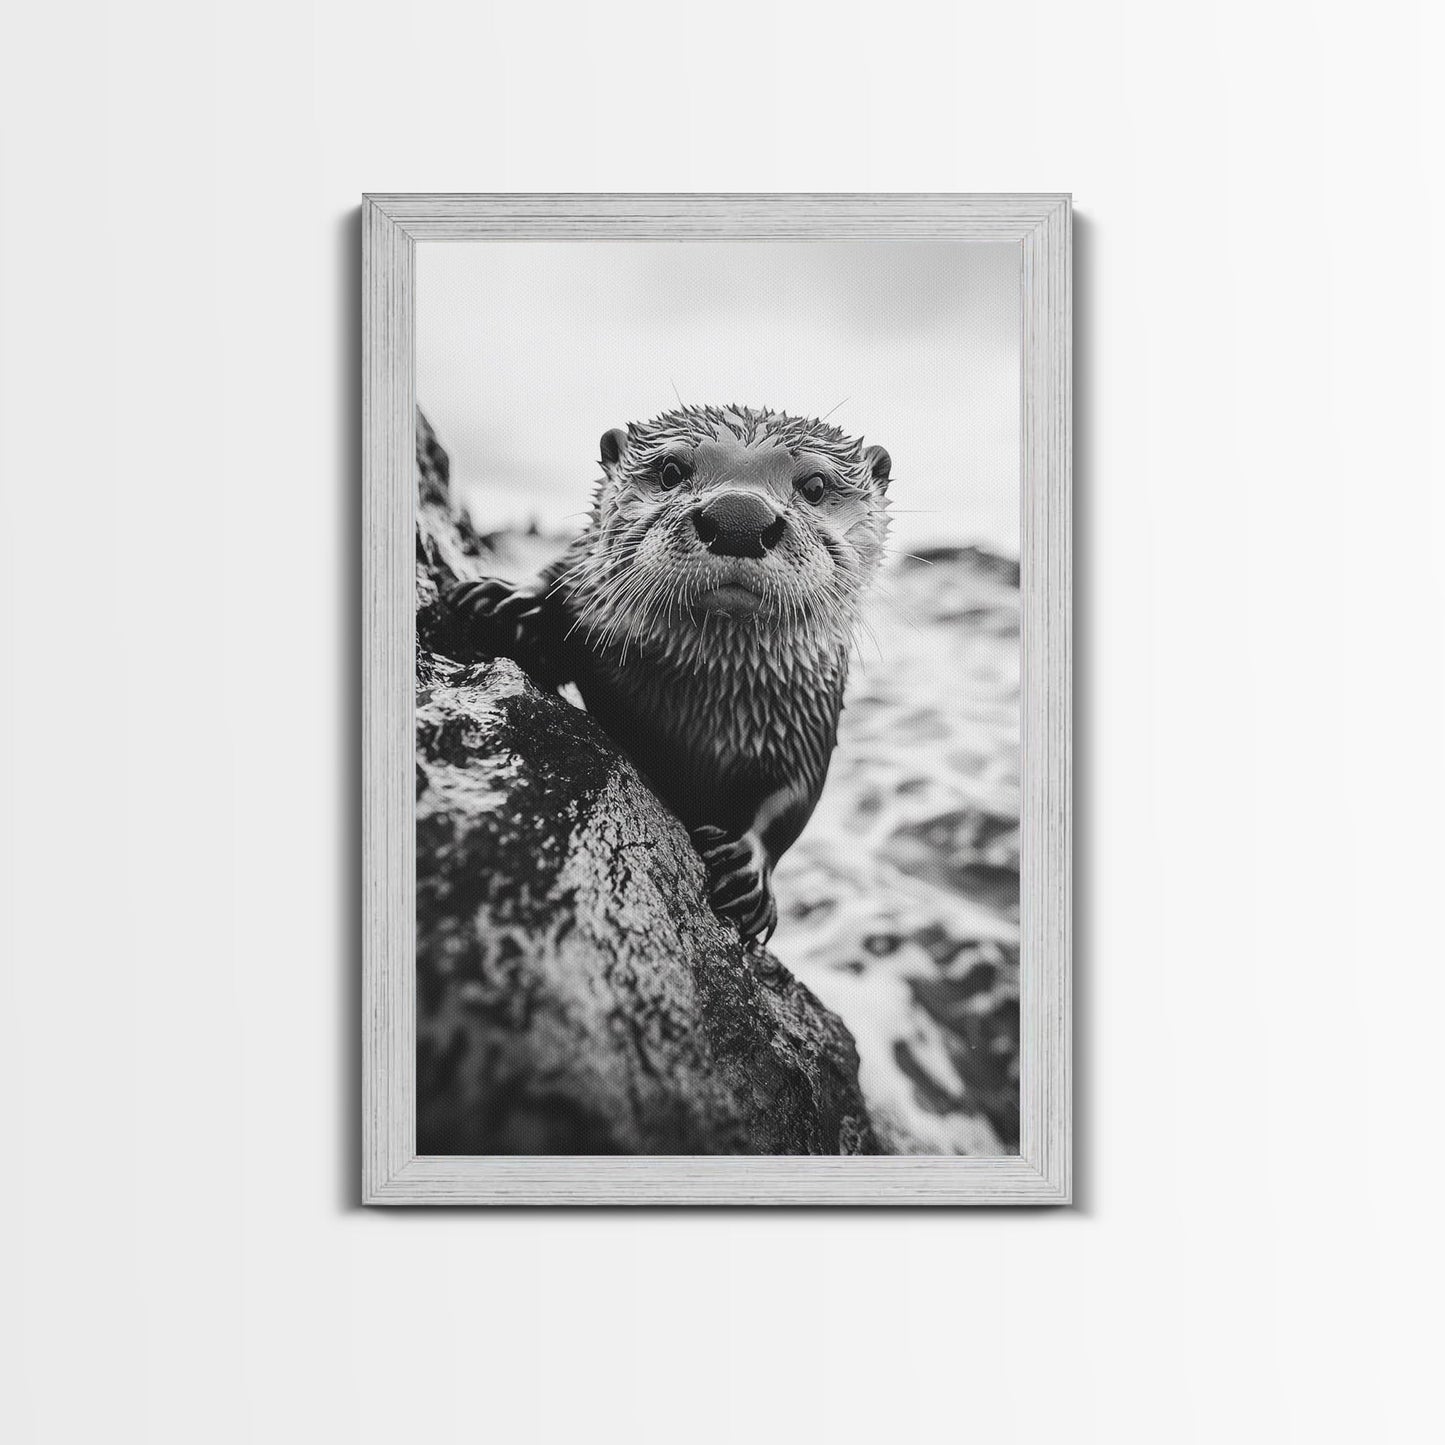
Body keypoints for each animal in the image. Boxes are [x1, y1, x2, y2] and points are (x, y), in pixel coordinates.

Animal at [445, 404, 892, 943]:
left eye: (815, 485)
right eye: (671, 470)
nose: (739, 517)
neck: (697, 704)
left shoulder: (809, 715)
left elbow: (793, 798)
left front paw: (747, 870)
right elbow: (559, 578)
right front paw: (508, 602)